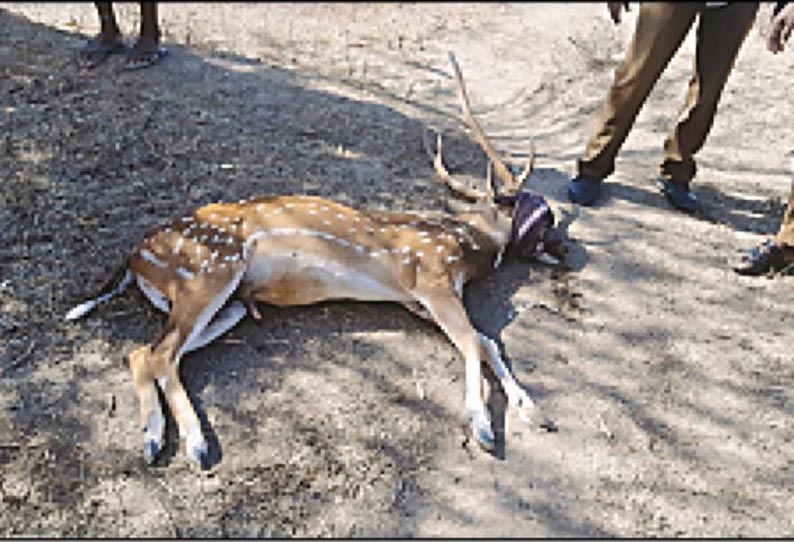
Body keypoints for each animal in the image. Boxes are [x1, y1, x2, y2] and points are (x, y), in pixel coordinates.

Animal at [66, 52, 564, 472]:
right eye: (545, 216)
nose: (564, 251)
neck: (465, 243)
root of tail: (135, 256)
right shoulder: (433, 277)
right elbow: (472, 343)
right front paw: (482, 426)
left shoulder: (417, 301)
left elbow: (485, 340)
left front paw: (534, 411)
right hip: (208, 272)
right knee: (160, 353)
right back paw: (193, 445)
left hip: (229, 303)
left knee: (144, 353)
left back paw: (155, 440)